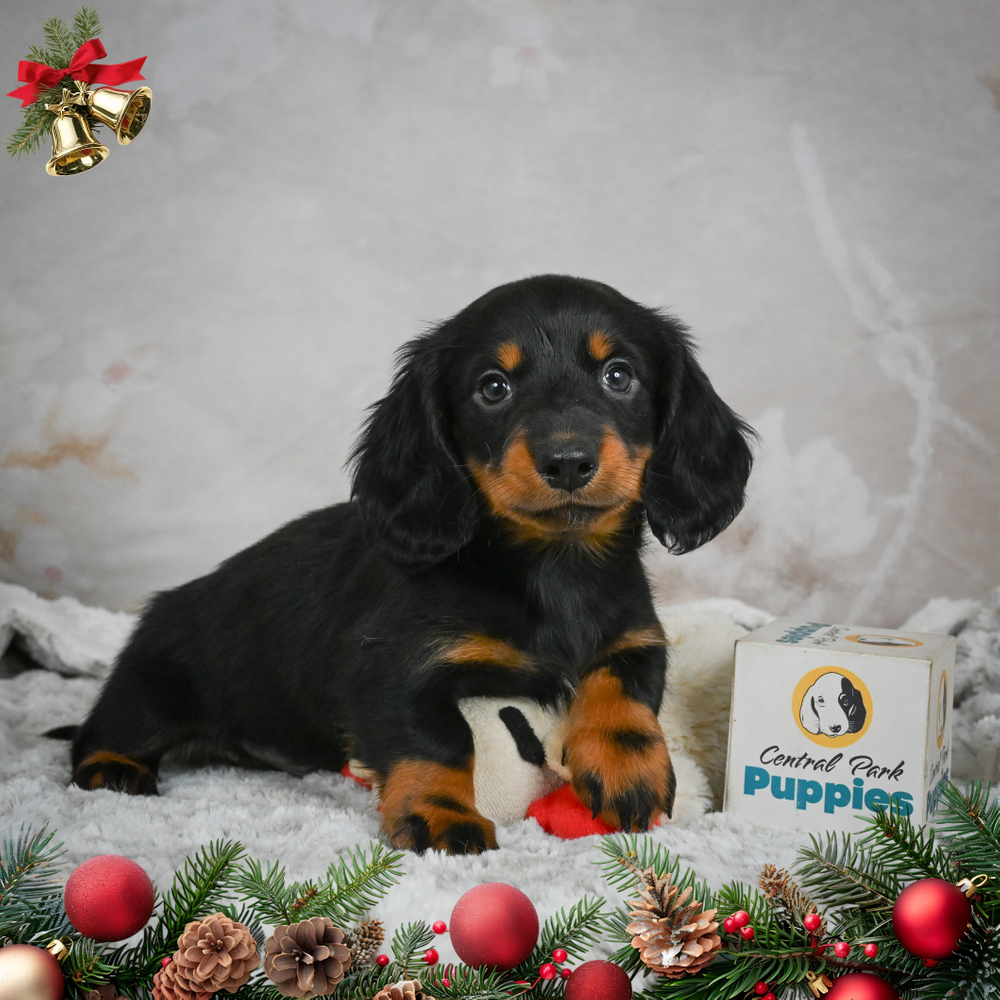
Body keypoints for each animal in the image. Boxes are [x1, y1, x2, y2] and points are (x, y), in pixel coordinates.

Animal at [69, 274, 754, 854]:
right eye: (493, 387)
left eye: (619, 375)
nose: (567, 461)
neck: (552, 567)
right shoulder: (396, 666)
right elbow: (437, 743)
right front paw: (442, 815)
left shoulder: (637, 633)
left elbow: (625, 690)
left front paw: (627, 768)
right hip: (155, 681)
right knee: (101, 731)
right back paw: (114, 767)